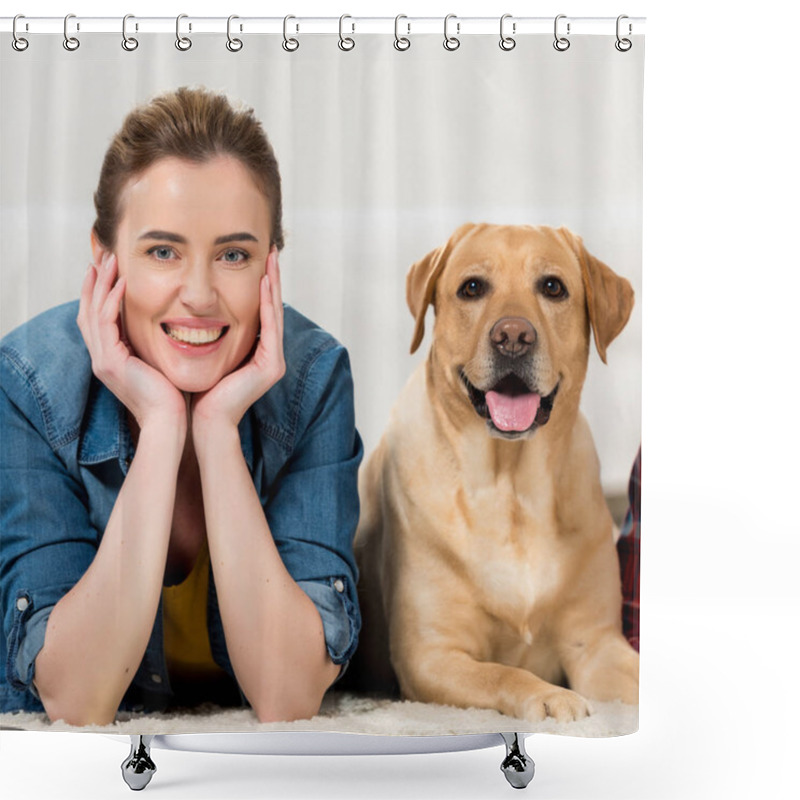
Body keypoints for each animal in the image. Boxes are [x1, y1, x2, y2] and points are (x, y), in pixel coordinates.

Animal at [354, 222, 640, 720]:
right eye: (472, 288)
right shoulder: (430, 655)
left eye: (552, 287)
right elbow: (502, 673)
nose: (513, 336)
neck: (511, 488)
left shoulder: (597, 645)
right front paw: (551, 696)